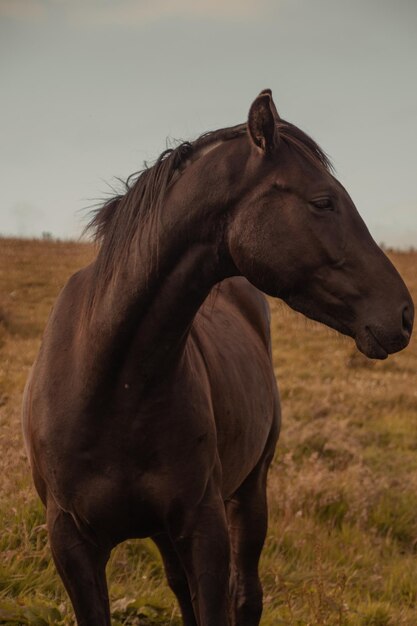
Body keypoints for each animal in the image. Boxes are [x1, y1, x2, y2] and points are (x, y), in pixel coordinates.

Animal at [22, 89, 412, 624]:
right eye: (322, 201)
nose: (405, 314)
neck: (109, 381)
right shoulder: (72, 546)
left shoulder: (203, 529)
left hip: (250, 491)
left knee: (245, 595)